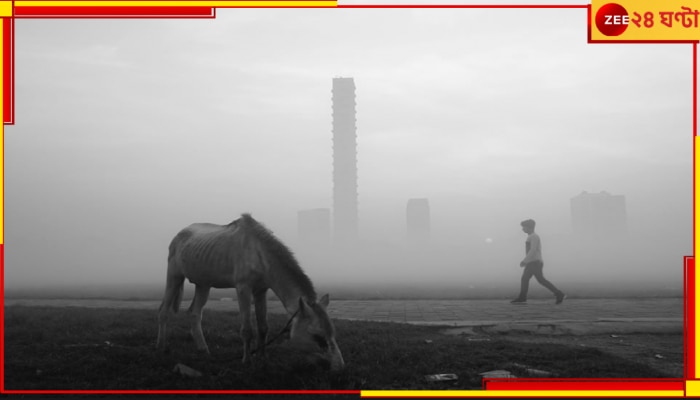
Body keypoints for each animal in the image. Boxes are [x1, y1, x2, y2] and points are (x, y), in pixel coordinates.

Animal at [157, 212, 346, 372]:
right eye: (317, 336)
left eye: (332, 333)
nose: (340, 368)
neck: (259, 253)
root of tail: (179, 235)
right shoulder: (243, 288)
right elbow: (247, 329)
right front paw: (247, 360)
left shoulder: (261, 290)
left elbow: (263, 327)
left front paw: (263, 356)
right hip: (174, 276)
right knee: (164, 311)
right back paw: (162, 347)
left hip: (203, 284)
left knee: (195, 313)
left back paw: (203, 349)